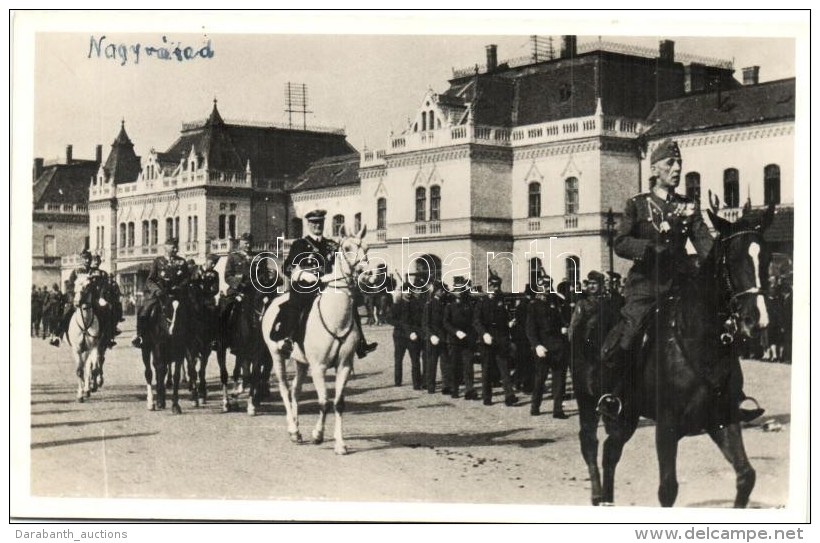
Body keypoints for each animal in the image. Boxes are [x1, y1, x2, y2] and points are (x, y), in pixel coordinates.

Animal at [262, 224, 370, 454]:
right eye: (346, 248)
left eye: (367, 247)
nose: (367, 274)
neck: (335, 316)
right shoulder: (319, 367)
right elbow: (323, 402)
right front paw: (318, 435)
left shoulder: (344, 365)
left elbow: (338, 403)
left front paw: (340, 444)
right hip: (277, 355)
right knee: (285, 389)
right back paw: (293, 429)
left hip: (301, 361)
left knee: (296, 391)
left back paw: (297, 429)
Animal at [572, 201, 776, 510]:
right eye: (733, 257)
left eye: (765, 257)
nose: (757, 321)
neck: (700, 341)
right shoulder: (666, 426)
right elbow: (667, 489)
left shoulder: (721, 419)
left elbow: (746, 476)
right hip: (587, 401)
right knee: (590, 444)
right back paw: (597, 496)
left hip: (627, 414)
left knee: (610, 450)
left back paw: (607, 499)